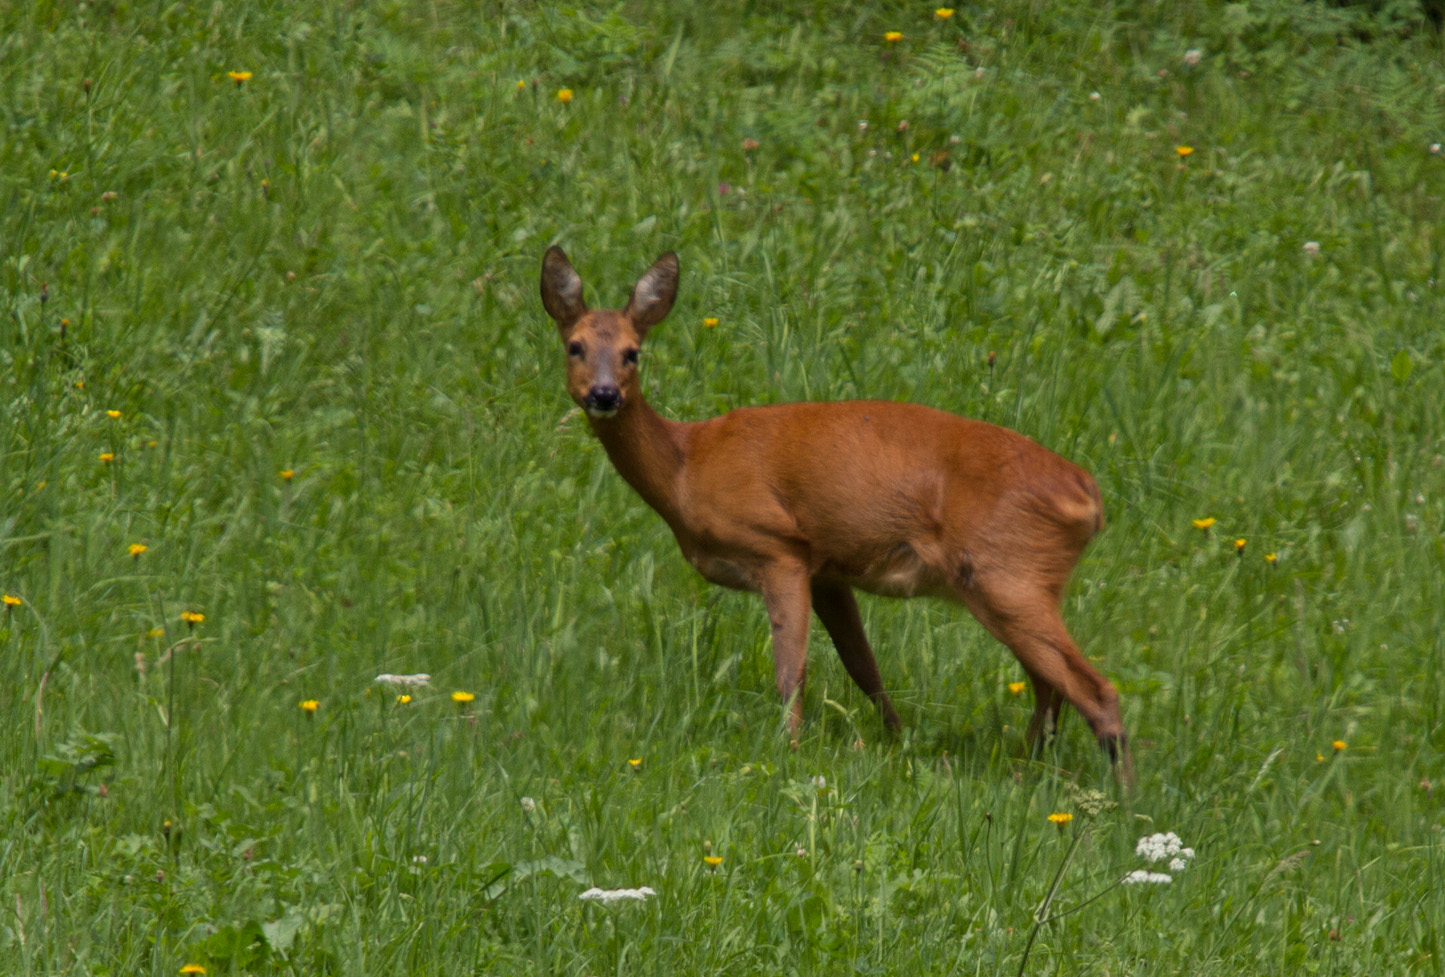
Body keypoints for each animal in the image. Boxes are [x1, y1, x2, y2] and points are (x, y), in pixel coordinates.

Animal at [540, 245, 1127, 780]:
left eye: (633, 352)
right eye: (575, 346)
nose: (604, 394)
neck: (687, 467)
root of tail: (1088, 495)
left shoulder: (777, 545)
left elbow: (791, 669)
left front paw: (789, 751)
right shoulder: (826, 569)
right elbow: (863, 667)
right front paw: (897, 739)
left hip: (1007, 572)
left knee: (1095, 690)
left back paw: (1117, 798)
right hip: (1014, 580)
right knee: (1050, 685)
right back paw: (1028, 768)